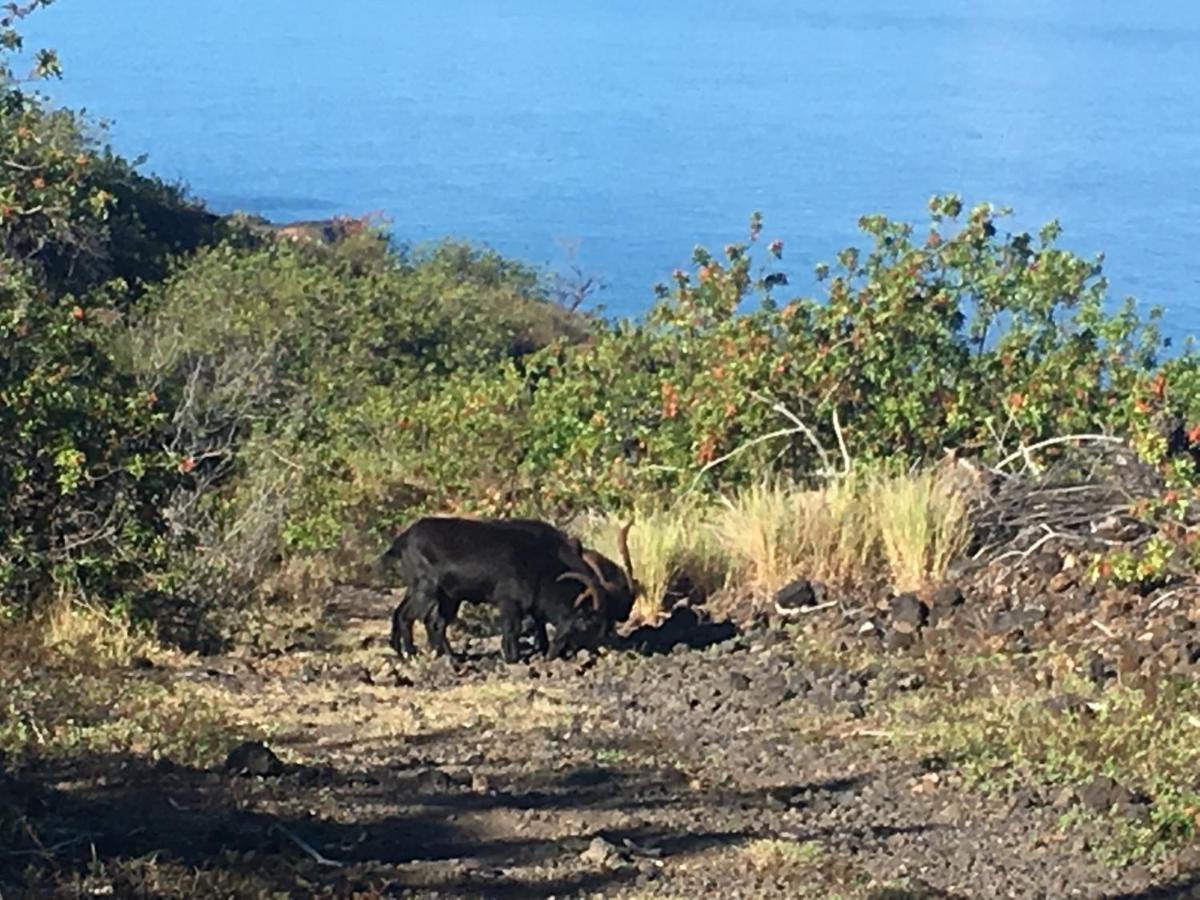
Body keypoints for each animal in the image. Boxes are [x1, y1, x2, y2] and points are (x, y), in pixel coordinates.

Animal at [386, 520, 614, 662]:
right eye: (587, 623)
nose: (598, 651)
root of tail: (402, 539)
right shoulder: (509, 602)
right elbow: (513, 629)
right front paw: (514, 658)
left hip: (446, 596)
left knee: (433, 622)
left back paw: (447, 656)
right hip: (426, 590)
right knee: (407, 616)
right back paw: (411, 653)